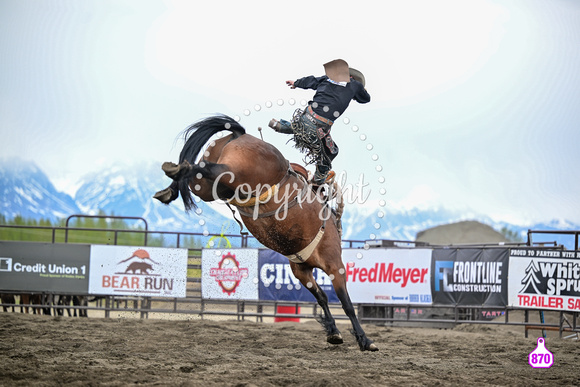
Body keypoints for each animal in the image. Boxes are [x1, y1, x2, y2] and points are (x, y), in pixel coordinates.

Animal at [154, 115, 378, 352]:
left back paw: (171, 182)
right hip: (237, 172)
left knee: (198, 173)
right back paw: (175, 170)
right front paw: (365, 340)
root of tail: (241, 135)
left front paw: (334, 332)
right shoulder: (335, 265)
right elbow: (346, 304)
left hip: (207, 188)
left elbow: (322, 297)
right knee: (213, 169)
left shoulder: (301, 270)